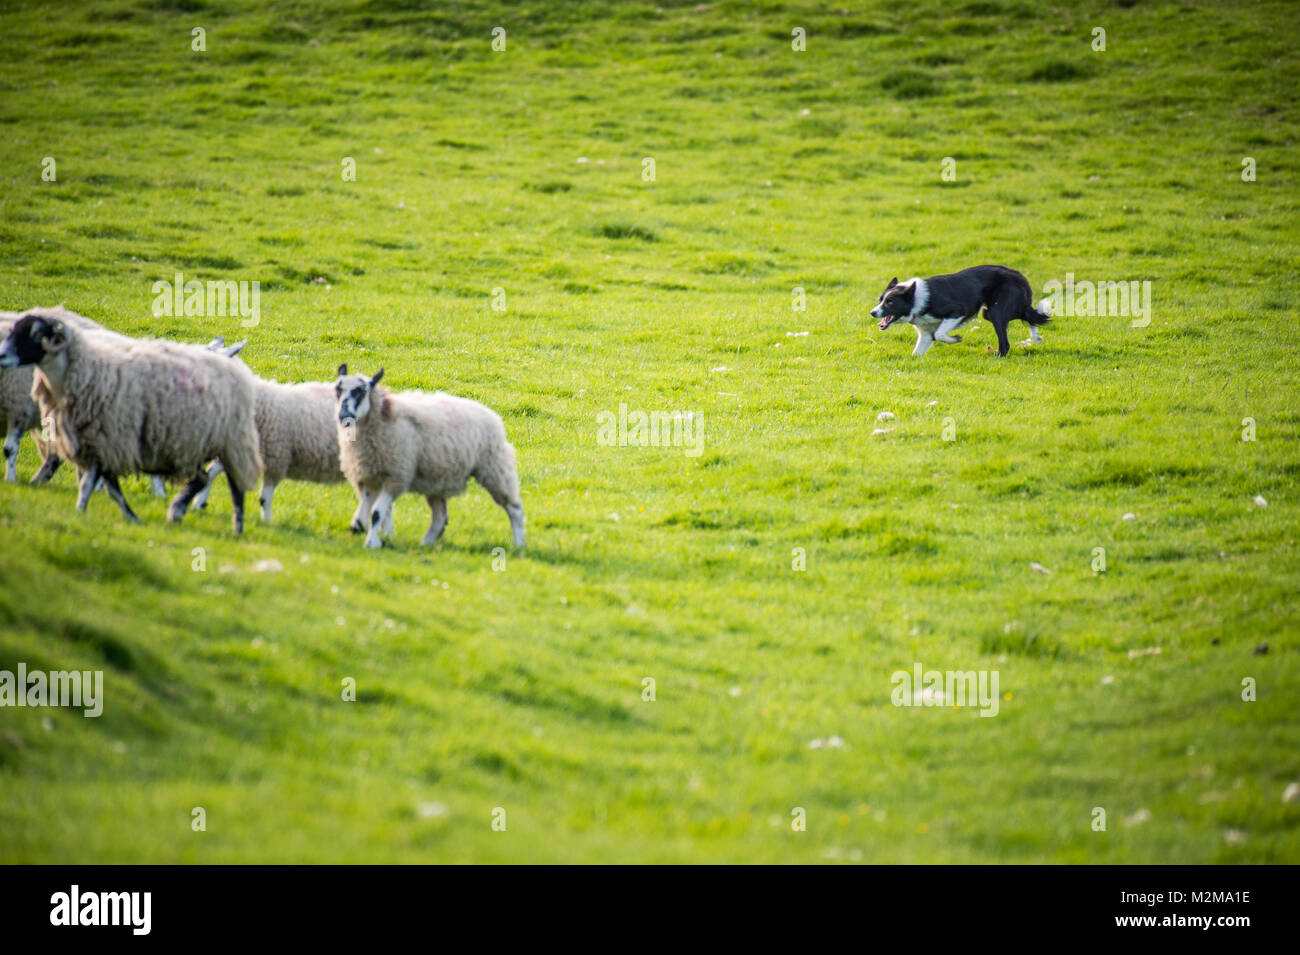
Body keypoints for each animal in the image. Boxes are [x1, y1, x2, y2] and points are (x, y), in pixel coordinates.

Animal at [332, 366, 525, 553]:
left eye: (361, 391)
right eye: (338, 389)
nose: (344, 416)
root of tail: (493, 416)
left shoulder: (396, 476)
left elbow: (377, 513)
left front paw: (372, 543)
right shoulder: (369, 476)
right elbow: (365, 514)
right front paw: (365, 530)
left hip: (494, 468)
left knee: (514, 508)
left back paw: (519, 545)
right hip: (437, 479)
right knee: (440, 517)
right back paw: (426, 543)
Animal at [868, 263, 1050, 356]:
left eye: (890, 302)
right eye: (880, 300)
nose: (872, 312)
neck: (915, 300)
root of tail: (1019, 275)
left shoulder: (957, 311)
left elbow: (939, 334)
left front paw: (956, 339)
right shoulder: (926, 332)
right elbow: (918, 351)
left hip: (995, 312)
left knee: (1006, 342)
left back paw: (998, 356)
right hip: (992, 311)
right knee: (1028, 315)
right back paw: (1036, 337)